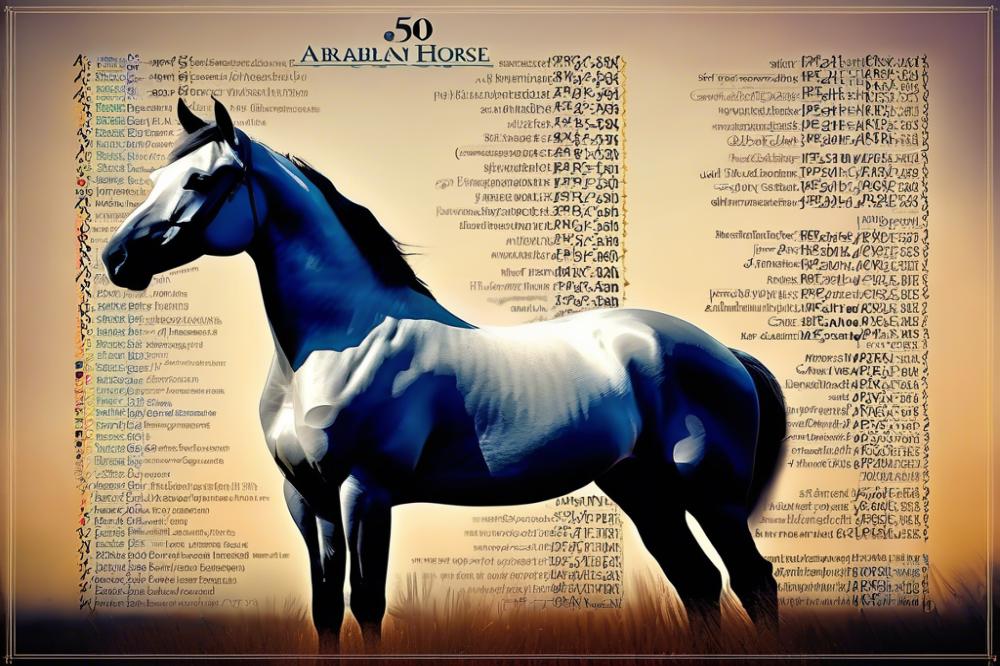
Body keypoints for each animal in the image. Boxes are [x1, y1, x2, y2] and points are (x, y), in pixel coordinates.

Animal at [102, 98, 787, 650]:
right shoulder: (307, 499)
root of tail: (726, 353)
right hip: (643, 490)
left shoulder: (364, 491)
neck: (338, 342)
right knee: (698, 583)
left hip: (711, 493)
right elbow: (325, 610)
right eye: (159, 176)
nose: (117, 258)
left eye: (203, 178)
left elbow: (366, 605)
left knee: (753, 580)